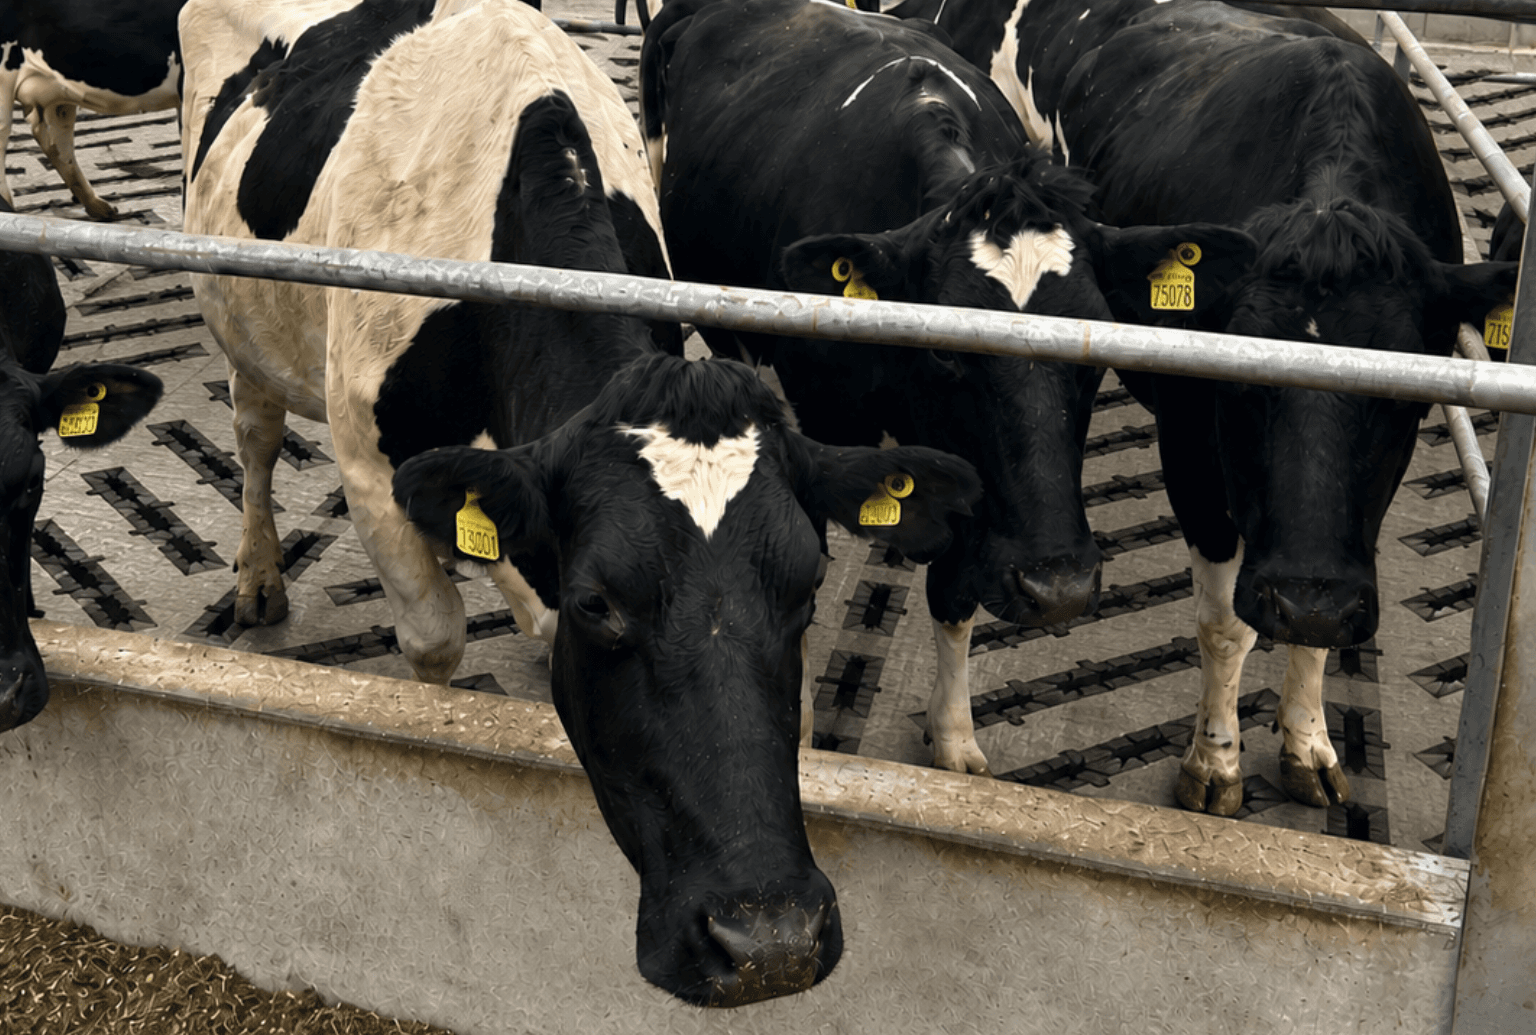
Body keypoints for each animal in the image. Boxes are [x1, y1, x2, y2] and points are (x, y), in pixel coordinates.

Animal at [180, 0, 986, 1006]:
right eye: (601, 603)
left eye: (806, 590)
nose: (770, 941)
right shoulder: (370, 471)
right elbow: (435, 642)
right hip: (243, 327)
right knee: (253, 435)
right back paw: (258, 576)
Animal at [641, 0, 1255, 777]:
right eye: (943, 350)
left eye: (1098, 347)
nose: (1059, 589)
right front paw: (800, 725)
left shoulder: (980, 491)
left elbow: (954, 592)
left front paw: (954, 734)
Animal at [895, 0, 1520, 815]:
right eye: (1241, 386)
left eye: (1398, 390)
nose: (1308, 599)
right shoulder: (1190, 447)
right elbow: (1226, 627)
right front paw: (1215, 763)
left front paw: (1308, 740)